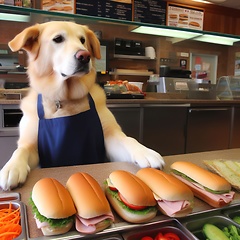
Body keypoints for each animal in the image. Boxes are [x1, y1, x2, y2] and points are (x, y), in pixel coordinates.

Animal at [0, 22, 164, 191]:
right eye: (58, 39)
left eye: (82, 40)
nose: (85, 56)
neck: (65, 99)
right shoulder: (31, 145)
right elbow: (21, 150)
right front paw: (12, 167)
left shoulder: (111, 137)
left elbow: (128, 139)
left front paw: (144, 151)